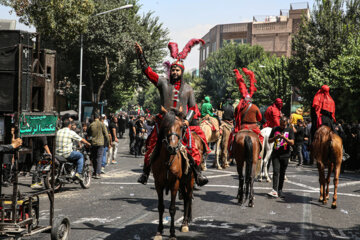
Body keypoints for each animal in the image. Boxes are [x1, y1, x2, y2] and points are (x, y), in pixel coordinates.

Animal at [153, 107, 195, 240]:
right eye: (166, 126)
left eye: (181, 127)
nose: (172, 147)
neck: (167, 161)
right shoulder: (158, 184)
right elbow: (161, 207)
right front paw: (159, 231)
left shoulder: (174, 183)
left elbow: (172, 208)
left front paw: (172, 233)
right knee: (186, 198)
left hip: (189, 182)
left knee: (188, 198)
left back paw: (185, 223)